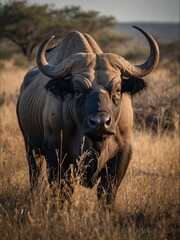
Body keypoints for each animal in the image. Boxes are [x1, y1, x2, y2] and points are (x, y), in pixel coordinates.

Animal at [16, 26, 159, 206]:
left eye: (118, 90)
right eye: (77, 90)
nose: (100, 123)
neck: (95, 142)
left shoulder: (123, 153)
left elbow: (107, 192)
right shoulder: (55, 152)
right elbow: (62, 191)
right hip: (30, 146)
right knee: (35, 175)